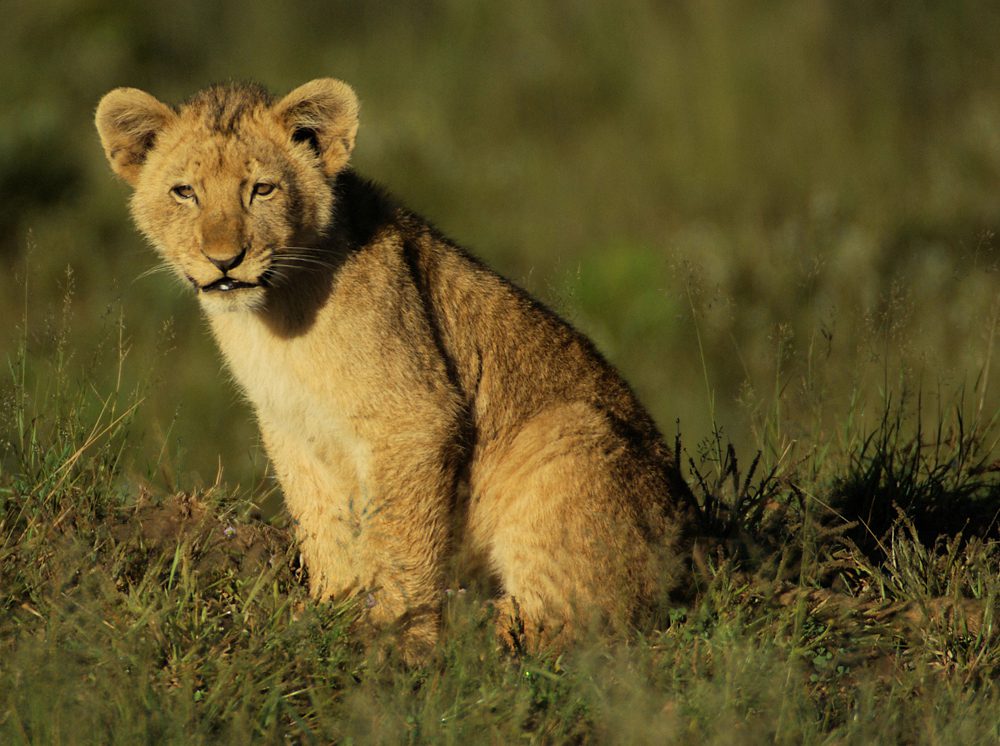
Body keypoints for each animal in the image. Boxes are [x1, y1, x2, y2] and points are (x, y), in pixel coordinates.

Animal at [95, 78, 693, 661]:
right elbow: (321, 523)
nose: (224, 260)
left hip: (574, 430)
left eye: (262, 190)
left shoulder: (414, 418)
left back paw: (474, 627)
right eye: (184, 192)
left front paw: (392, 631)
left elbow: (399, 535)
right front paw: (329, 610)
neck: (275, 319)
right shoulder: (290, 425)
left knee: (573, 623)